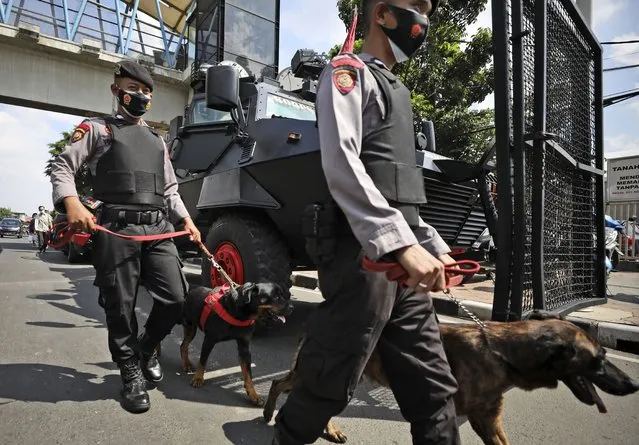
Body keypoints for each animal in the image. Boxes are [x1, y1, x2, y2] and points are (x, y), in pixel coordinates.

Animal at [262, 310, 639, 444]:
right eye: (600, 360)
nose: (634, 384)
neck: (502, 351)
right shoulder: (476, 420)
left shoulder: (490, 420)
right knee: (282, 385)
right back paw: (270, 412)